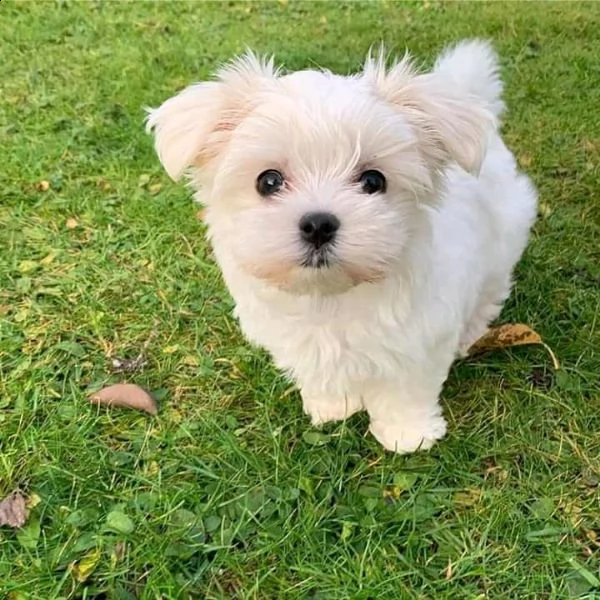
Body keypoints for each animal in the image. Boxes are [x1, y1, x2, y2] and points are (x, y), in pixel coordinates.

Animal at [146, 41, 540, 454]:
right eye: (268, 181)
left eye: (373, 181)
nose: (318, 224)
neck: (330, 296)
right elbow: (322, 372)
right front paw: (334, 406)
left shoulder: (419, 338)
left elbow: (406, 387)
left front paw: (407, 433)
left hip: (503, 236)